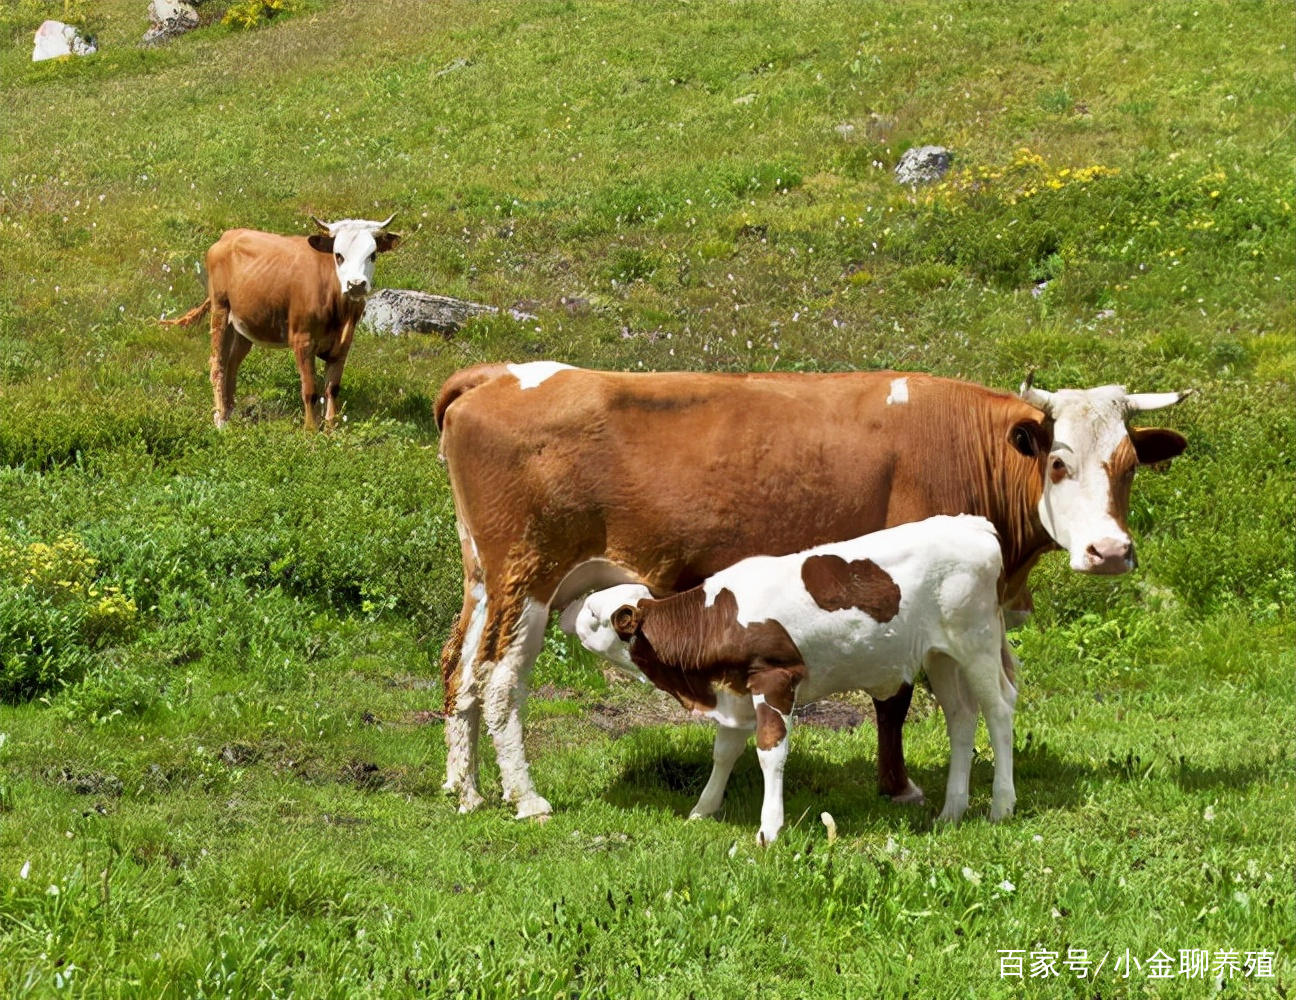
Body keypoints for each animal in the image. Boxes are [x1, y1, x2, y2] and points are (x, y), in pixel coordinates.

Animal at [161, 216, 396, 427]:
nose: (356, 284)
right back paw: (220, 418)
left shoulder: (344, 344)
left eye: (372, 254)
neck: (339, 311)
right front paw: (311, 431)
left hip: (245, 324)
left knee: (232, 364)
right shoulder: (302, 340)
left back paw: (229, 412)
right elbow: (310, 389)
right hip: (220, 310)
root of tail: (227, 236)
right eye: (338, 255)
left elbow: (332, 388)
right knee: (218, 363)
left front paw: (331, 428)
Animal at [575, 515, 1010, 844]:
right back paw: (952, 811)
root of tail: (972, 523)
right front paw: (703, 809)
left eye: (595, 614)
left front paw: (769, 829)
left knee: (999, 712)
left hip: (978, 643)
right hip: (941, 656)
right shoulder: (735, 690)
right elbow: (724, 752)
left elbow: (770, 752)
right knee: (961, 717)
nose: (575, 619)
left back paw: (1002, 805)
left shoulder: (776, 678)